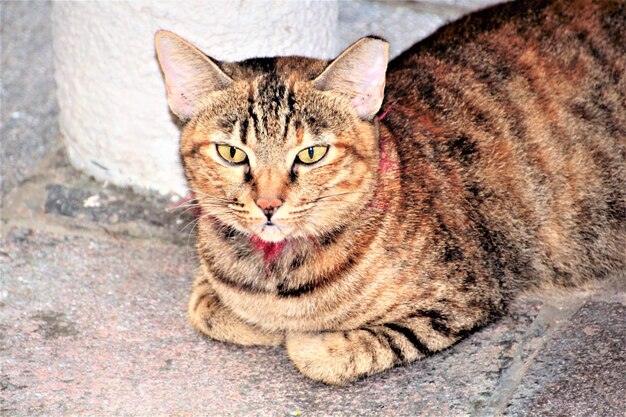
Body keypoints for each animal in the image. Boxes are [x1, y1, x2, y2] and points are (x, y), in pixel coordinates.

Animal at [154, 0, 620, 384]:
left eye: (312, 154)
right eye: (231, 152)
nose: (268, 204)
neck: (275, 273)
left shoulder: (461, 297)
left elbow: (329, 349)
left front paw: (301, 336)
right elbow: (205, 306)